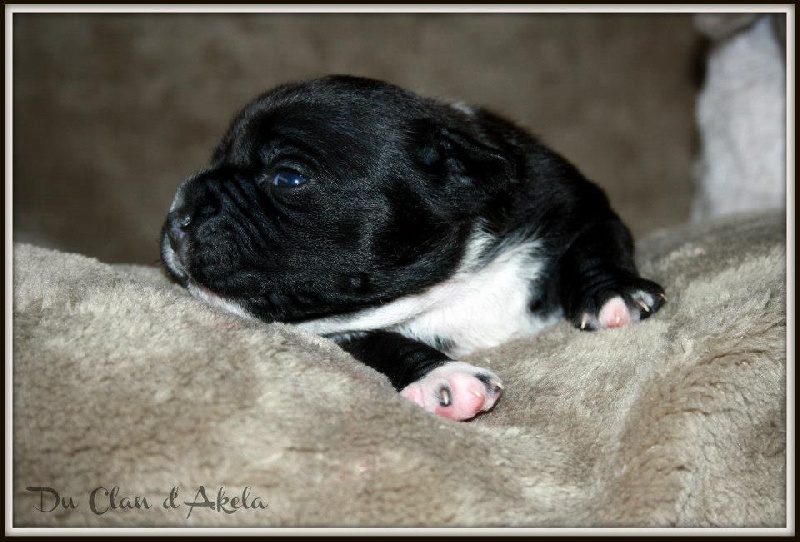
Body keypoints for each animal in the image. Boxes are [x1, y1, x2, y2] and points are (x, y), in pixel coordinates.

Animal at [161, 75, 665, 421]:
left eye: (287, 177)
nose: (179, 206)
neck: (450, 283)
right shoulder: (334, 335)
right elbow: (380, 343)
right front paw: (442, 377)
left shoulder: (578, 205)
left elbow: (595, 246)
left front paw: (612, 293)